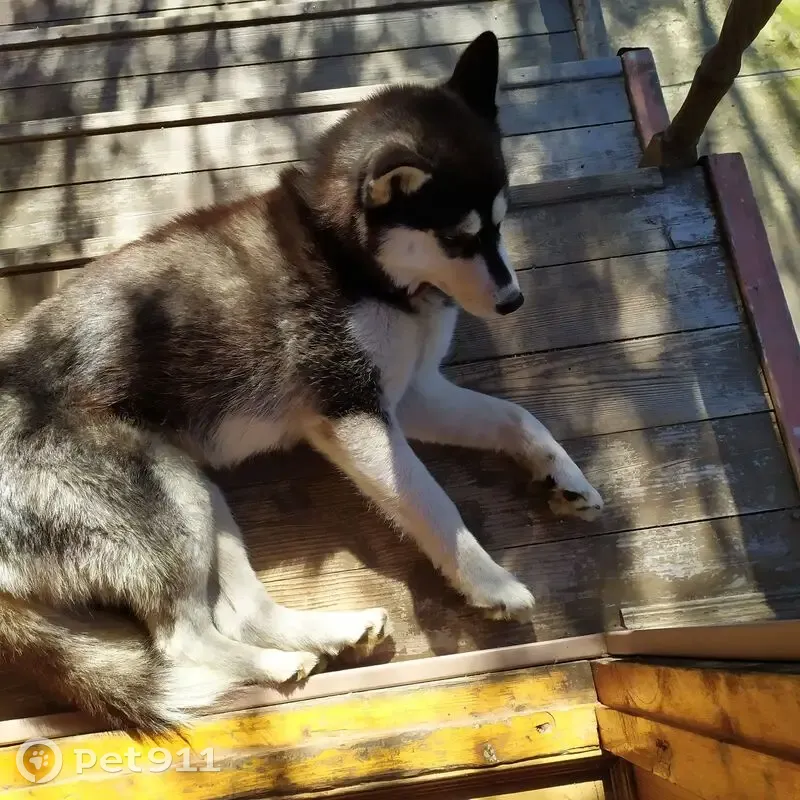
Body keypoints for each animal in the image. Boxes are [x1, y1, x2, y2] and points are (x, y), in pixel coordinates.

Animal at [0, 31, 603, 735]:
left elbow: (519, 418)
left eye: (503, 223)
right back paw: (271, 665)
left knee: (241, 614)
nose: (513, 301)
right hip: (165, 505)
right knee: (181, 641)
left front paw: (564, 476)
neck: (352, 259)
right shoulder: (354, 414)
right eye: (458, 237)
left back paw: (328, 635)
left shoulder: (411, 396)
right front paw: (490, 582)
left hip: (198, 495)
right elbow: (435, 504)